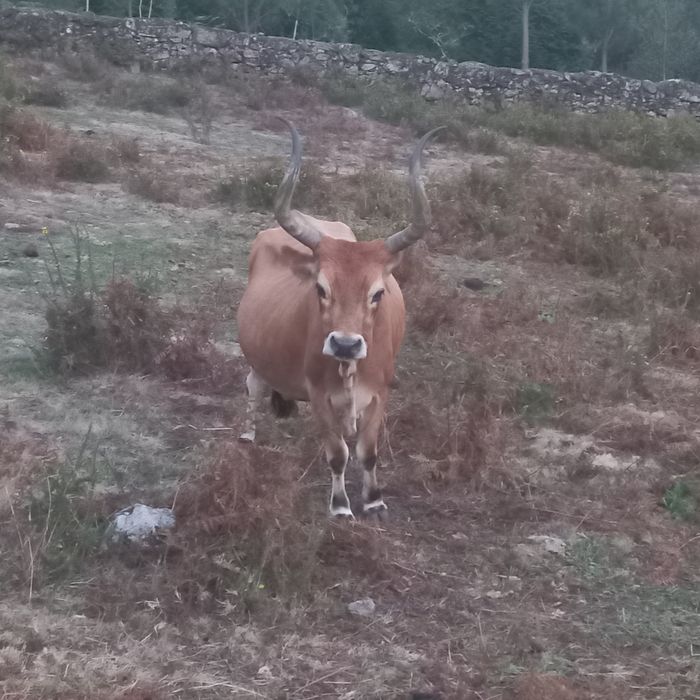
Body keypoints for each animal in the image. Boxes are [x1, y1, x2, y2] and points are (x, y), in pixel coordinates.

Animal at [237, 120, 442, 518]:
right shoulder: (319, 397)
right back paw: (248, 434)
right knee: (254, 387)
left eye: (377, 293)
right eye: (321, 288)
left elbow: (368, 452)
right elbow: (337, 454)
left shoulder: (379, 396)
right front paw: (341, 505)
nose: (345, 344)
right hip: (256, 358)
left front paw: (374, 500)